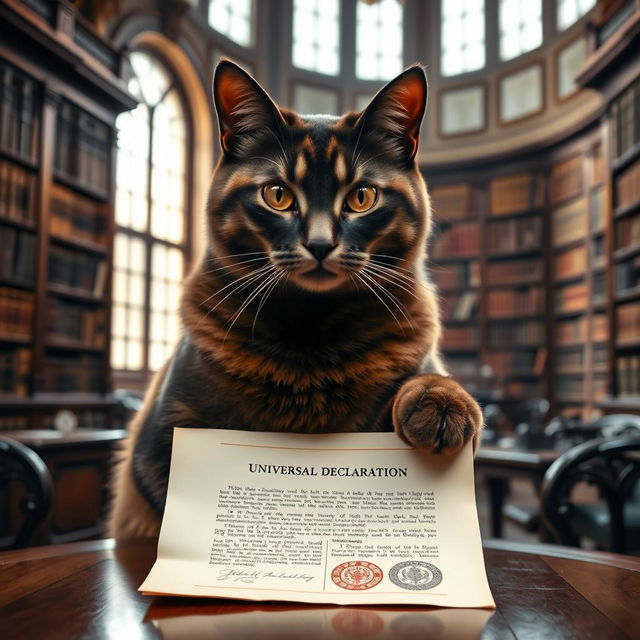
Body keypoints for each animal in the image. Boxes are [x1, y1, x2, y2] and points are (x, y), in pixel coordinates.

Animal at [109, 61, 480, 540]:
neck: (311, 334)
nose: (320, 244)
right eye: (277, 195)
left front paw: (441, 401)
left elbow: (427, 381)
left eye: (362, 197)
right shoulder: (161, 439)